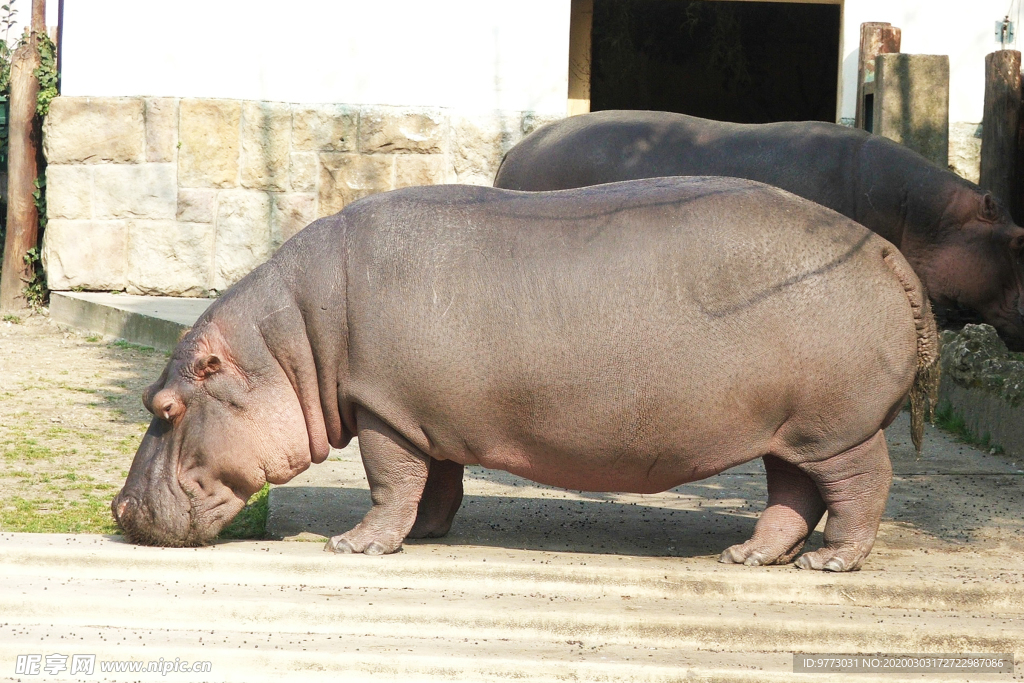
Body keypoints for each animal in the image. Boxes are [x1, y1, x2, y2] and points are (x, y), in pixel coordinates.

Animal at [110, 179, 937, 573]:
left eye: (165, 404)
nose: (118, 509)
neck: (287, 345)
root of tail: (885, 250)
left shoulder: (381, 410)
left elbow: (389, 479)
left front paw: (354, 545)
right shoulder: (419, 411)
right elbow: (437, 479)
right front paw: (429, 533)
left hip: (838, 428)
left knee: (861, 489)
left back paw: (831, 562)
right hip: (790, 430)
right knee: (792, 496)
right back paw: (747, 557)